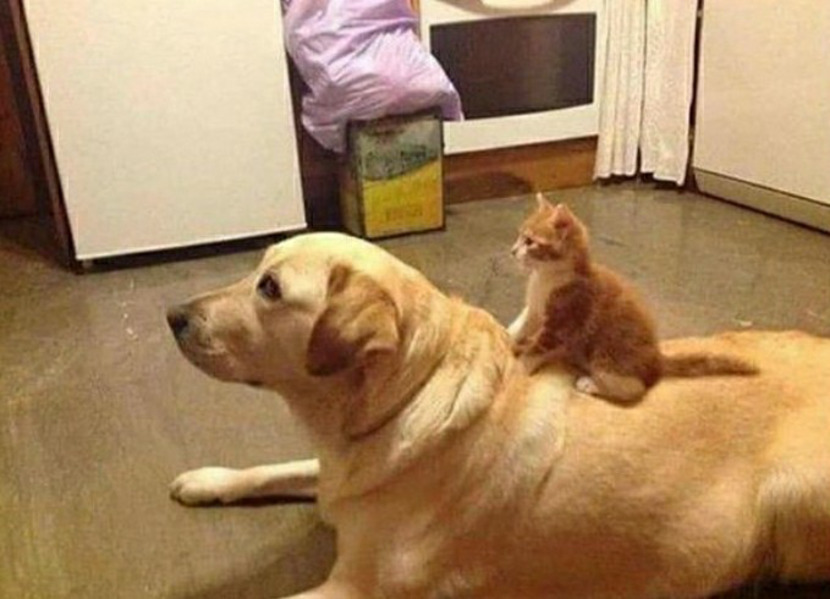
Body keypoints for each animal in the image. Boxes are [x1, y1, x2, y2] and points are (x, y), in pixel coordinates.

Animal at [167, 232, 830, 598]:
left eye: (270, 289)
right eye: (255, 271)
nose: (173, 315)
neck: (406, 393)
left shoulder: (358, 587)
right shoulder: (335, 470)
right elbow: (277, 468)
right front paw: (208, 480)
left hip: (794, 493)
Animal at [509, 194, 757, 402]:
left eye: (530, 242)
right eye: (519, 235)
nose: (512, 251)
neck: (545, 277)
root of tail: (656, 358)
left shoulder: (562, 322)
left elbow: (538, 348)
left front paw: (519, 367)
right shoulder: (534, 310)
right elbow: (521, 327)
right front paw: (510, 339)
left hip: (607, 352)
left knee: (634, 389)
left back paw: (591, 384)